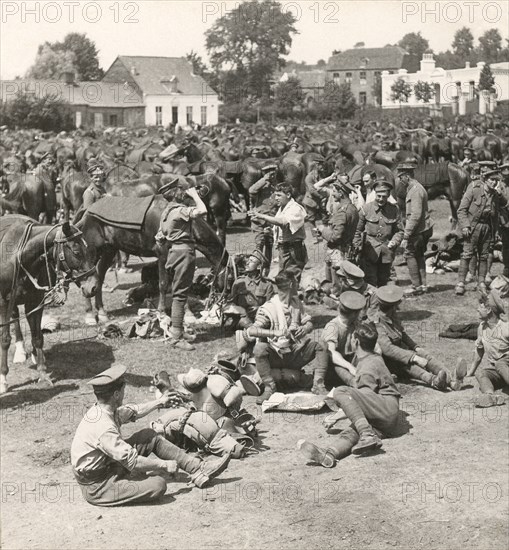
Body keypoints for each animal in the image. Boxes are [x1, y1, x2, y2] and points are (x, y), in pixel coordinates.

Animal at [0, 217, 98, 396]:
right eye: (76, 252)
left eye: (88, 249)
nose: (93, 287)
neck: (19, 258)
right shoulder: (3, 302)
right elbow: (4, 339)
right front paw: (3, 379)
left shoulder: (36, 302)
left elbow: (38, 338)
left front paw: (43, 374)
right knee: (14, 319)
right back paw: (20, 351)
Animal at [77, 196, 228, 326]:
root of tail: (87, 212)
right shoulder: (162, 255)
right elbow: (163, 284)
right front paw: (162, 313)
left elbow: (180, 285)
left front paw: (189, 315)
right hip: (92, 252)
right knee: (87, 280)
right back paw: (90, 316)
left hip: (109, 251)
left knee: (99, 277)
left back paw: (102, 313)